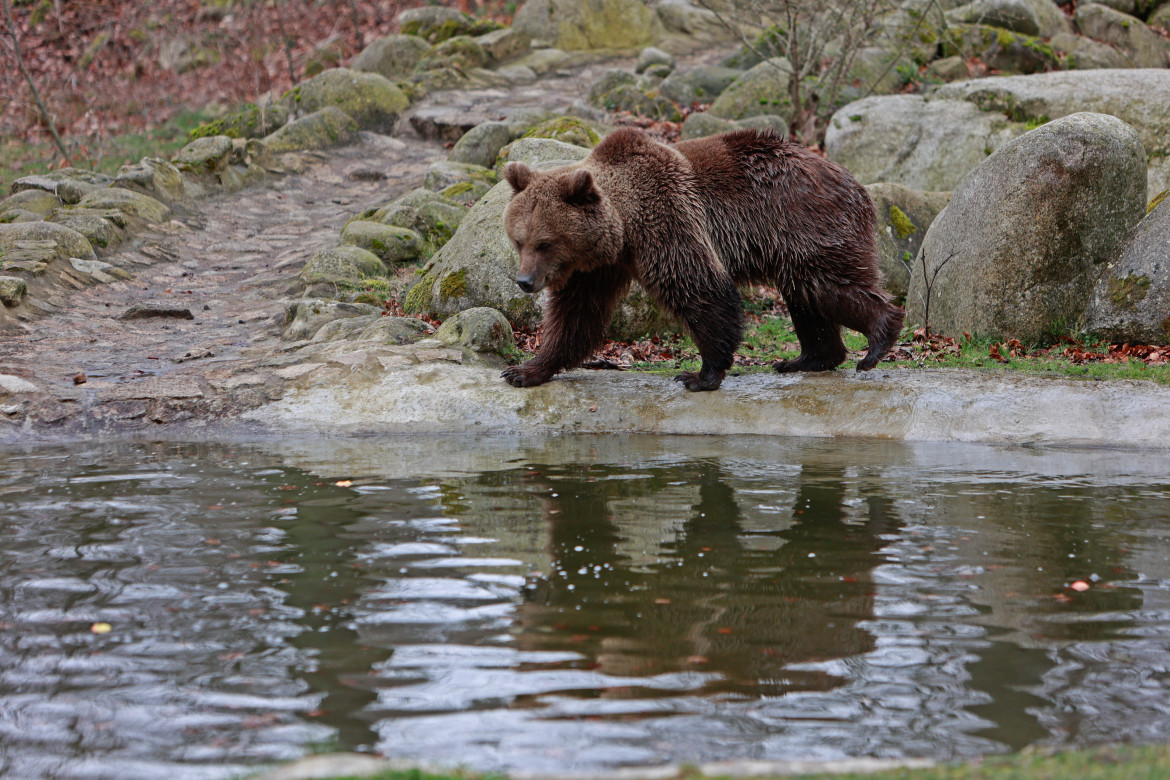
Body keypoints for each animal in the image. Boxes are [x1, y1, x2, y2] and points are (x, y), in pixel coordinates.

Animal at [498, 130, 898, 392]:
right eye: (519, 241)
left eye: (545, 243)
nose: (525, 281)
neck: (624, 230)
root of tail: (854, 182)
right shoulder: (596, 269)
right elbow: (575, 316)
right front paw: (525, 370)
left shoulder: (668, 220)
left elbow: (699, 288)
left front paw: (700, 375)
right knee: (806, 297)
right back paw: (806, 358)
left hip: (804, 223)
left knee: (827, 284)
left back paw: (879, 338)